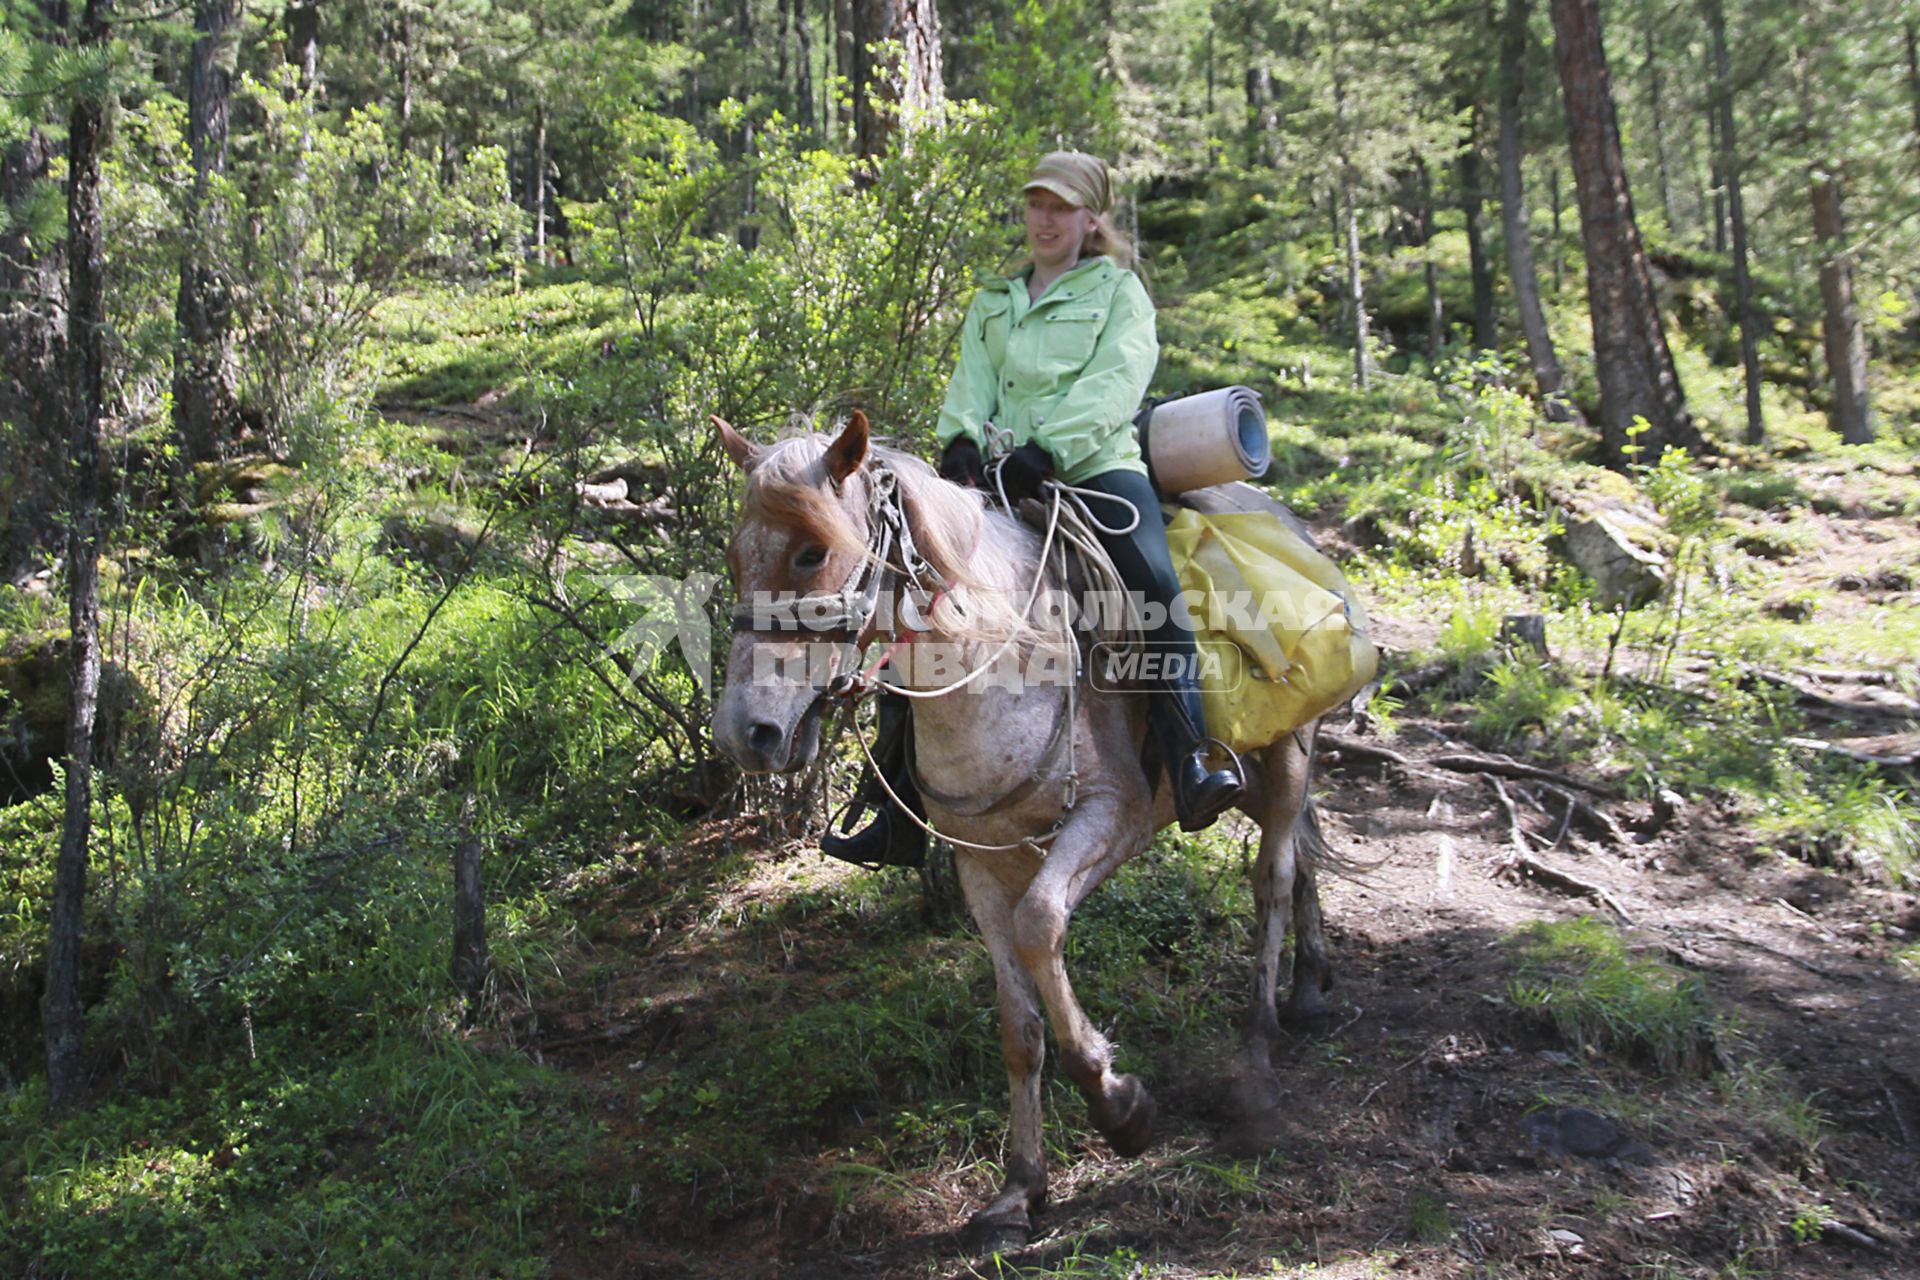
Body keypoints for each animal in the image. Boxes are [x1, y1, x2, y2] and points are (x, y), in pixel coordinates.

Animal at [710, 412, 1336, 1251]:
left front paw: (1118, 1104)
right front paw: (1018, 1190)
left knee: (1271, 877)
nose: (746, 734)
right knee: (1300, 853)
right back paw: (1310, 984)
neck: (997, 657)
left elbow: (1042, 926)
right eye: (734, 557)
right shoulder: (978, 861)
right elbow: (1018, 1025)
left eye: (813, 552)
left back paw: (1260, 1049)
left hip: (1288, 750)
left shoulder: (1112, 818)